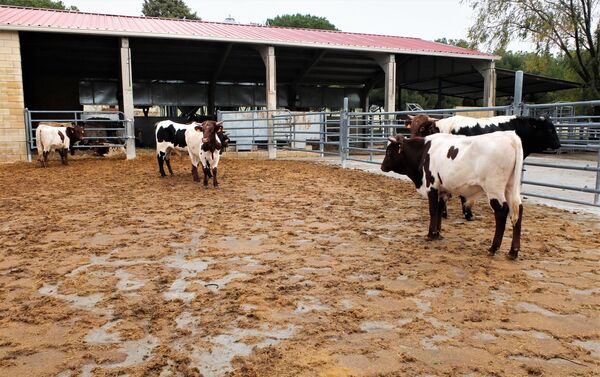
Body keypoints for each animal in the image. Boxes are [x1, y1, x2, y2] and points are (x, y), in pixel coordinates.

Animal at [380, 131, 524, 258]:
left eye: (389, 152)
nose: (382, 167)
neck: (424, 151)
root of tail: (510, 136)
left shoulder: (431, 186)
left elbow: (433, 210)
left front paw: (430, 234)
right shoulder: (442, 190)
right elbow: (439, 210)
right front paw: (437, 234)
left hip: (494, 188)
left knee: (501, 212)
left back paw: (493, 248)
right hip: (510, 188)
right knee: (518, 211)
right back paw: (513, 252)